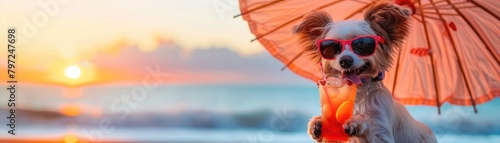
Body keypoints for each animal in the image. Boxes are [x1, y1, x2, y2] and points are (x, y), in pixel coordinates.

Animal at [292, 0, 438, 142]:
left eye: (362, 44)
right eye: (331, 46)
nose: (345, 61)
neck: (357, 92)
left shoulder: (383, 131)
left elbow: (370, 131)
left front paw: (357, 123)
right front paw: (317, 123)